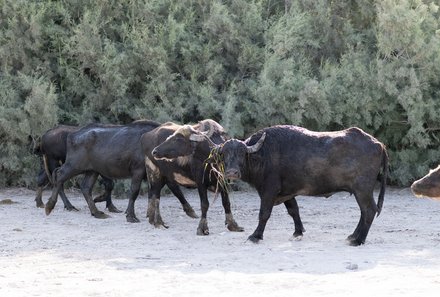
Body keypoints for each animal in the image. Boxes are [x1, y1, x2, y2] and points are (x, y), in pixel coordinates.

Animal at [44, 119, 196, 221]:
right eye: (174, 139)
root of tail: (73, 135)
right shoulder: (138, 171)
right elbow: (134, 191)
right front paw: (131, 215)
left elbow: (175, 191)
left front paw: (190, 211)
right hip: (74, 165)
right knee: (58, 175)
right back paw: (51, 206)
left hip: (92, 170)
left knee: (85, 187)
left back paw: (96, 212)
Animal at [218, 125, 386, 245]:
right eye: (225, 154)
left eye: (241, 153)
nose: (232, 172)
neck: (263, 155)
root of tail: (378, 143)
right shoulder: (287, 193)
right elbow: (294, 210)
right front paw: (298, 232)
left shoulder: (269, 191)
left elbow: (264, 214)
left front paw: (255, 236)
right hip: (360, 191)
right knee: (364, 212)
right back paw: (353, 236)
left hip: (362, 190)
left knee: (369, 210)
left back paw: (358, 240)